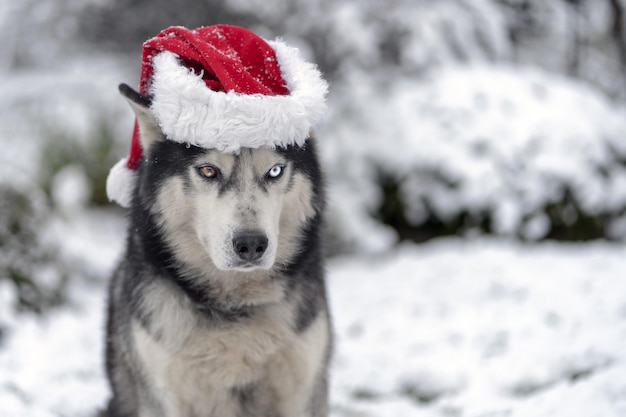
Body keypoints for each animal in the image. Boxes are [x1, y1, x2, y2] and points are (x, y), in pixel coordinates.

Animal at [102, 82, 332, 416]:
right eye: (209, 171)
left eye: (275, 171)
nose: (251, 244)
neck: (234, 305)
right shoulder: (164, 395)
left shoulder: (301, 392)